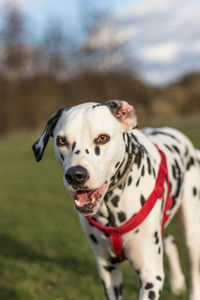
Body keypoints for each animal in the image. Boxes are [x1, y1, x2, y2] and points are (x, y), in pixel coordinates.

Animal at [32, 101, 200, 300]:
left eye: (102, 138)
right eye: (61, 141)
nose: (75, 175)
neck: (112, 206)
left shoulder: (151, 275)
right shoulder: (108, 270)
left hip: (192, 233)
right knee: (171, 241)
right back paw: (177, 282)